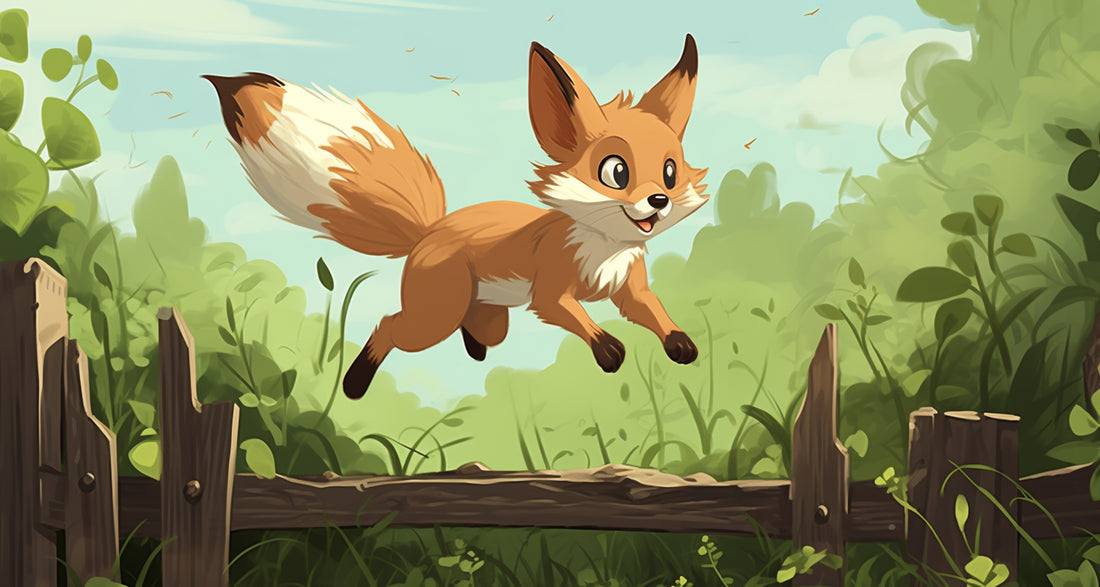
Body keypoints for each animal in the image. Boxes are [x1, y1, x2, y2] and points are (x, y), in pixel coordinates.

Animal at [204, 34, 709, 399]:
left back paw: (474, 347)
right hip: (434, 318)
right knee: (390, 326)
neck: (604, 251)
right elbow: (572, 314)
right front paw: (607, 348)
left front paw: (680, 343)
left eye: (670, 172)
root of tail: (429, 231)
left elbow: (654, 312)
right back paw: (355, 383)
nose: (658, 201)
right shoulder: (551, 290)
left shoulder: (629, 287)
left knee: (475, 330)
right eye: (616, 172)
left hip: (487, 315)